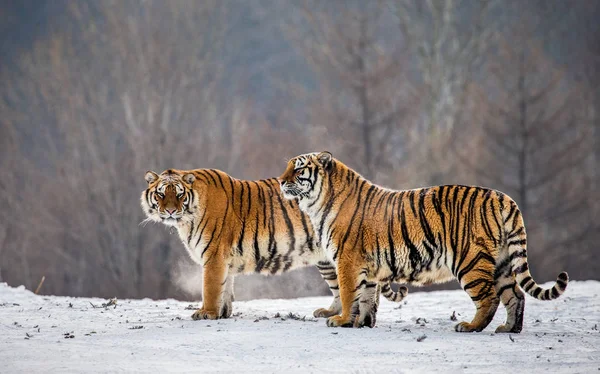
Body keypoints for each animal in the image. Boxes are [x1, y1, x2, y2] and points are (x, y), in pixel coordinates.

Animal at [141, 168, 406, 322]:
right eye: (161, 194)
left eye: (179, 194)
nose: (170, 211)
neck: (186, 219)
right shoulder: (224, 259)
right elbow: (226, 287)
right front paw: (222, 313)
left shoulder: (214, 255)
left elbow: (211, 287)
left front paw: (206, 312)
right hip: (327, 260)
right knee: (345, 288)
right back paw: (336, 314)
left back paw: (360, 317)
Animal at [278, 152, 568, 334]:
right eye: (287, 167)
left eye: (298, 168)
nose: (280, 181)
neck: (317, 204)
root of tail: (503, 198)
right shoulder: (368, 266)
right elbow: (367, 297)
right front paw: (362, 322)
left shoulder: (347, 260)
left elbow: (350, 294)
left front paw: (341, 321)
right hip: (502, 263)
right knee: (515, 295)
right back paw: (509, 328)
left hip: (470, 261)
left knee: (489, 297)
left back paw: (470, 327)